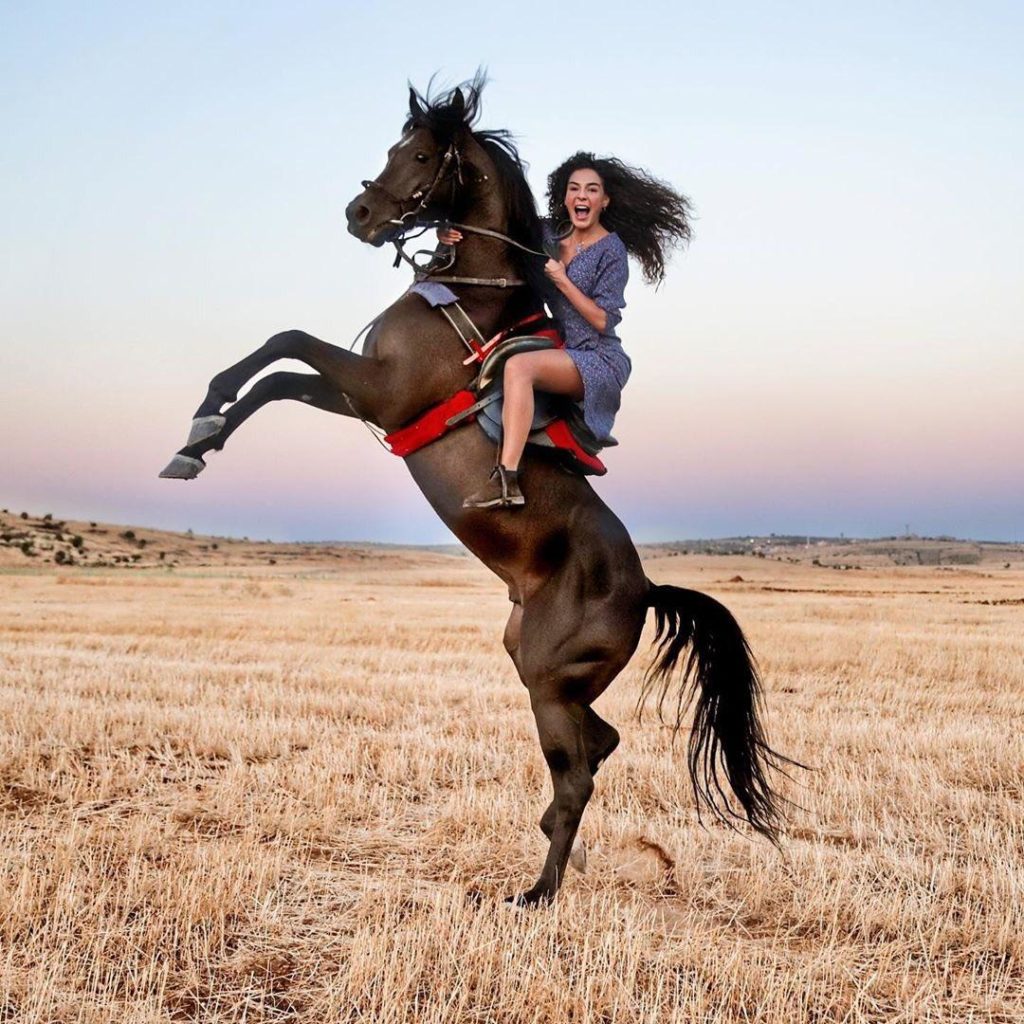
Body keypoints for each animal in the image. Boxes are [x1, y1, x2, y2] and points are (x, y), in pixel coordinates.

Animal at [163, 81, 794, 913]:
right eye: (395, 146)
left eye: (424, 154)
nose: (359, 214)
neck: (466, 289)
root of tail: (648, 588)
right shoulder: (362, 399)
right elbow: (279, 376)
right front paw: (198, 439)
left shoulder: (382, 391)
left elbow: (285, 343)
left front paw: (201, 422)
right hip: (537, 666)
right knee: (600, 745)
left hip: (548, 684)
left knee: (578, 776)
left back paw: (537, 892)